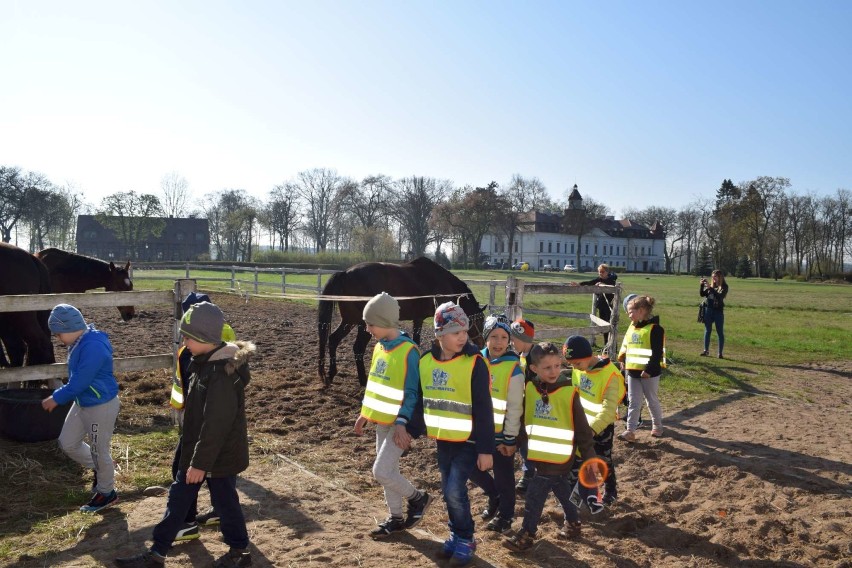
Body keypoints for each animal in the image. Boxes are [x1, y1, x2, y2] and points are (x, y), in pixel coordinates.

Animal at [318, 256, 486, 386]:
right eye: (479, 321)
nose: (481, 343)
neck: (441, 282)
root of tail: (345, 273)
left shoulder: (418, 319)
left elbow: (416, 341)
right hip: (362, 324)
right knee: (357, 347)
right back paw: (363, 380)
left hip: (349, 320)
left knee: (333, 339)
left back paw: (331, 374)